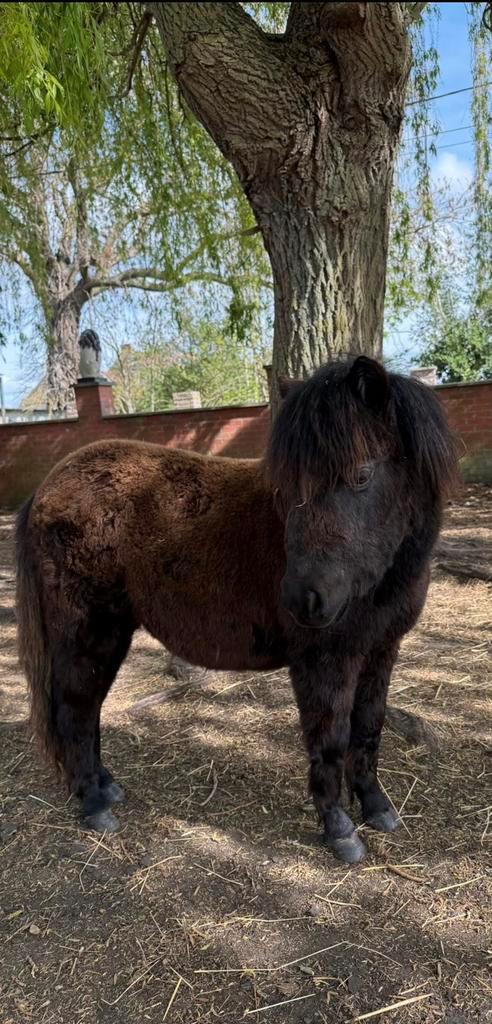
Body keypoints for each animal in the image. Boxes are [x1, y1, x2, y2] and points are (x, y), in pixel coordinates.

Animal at [15, 356, 457, 863]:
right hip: (88, 633)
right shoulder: (325, 659)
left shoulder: (380, 650)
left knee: (88, 712)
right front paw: (339, 828)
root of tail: (46, 489)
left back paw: (106, 788)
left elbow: (368, 730)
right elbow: (329, 738)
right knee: (74, 710)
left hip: (111, 633)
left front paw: (377, 808)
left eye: (362, 475)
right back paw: (93, 805)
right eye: (288, 485)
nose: (303, 599)